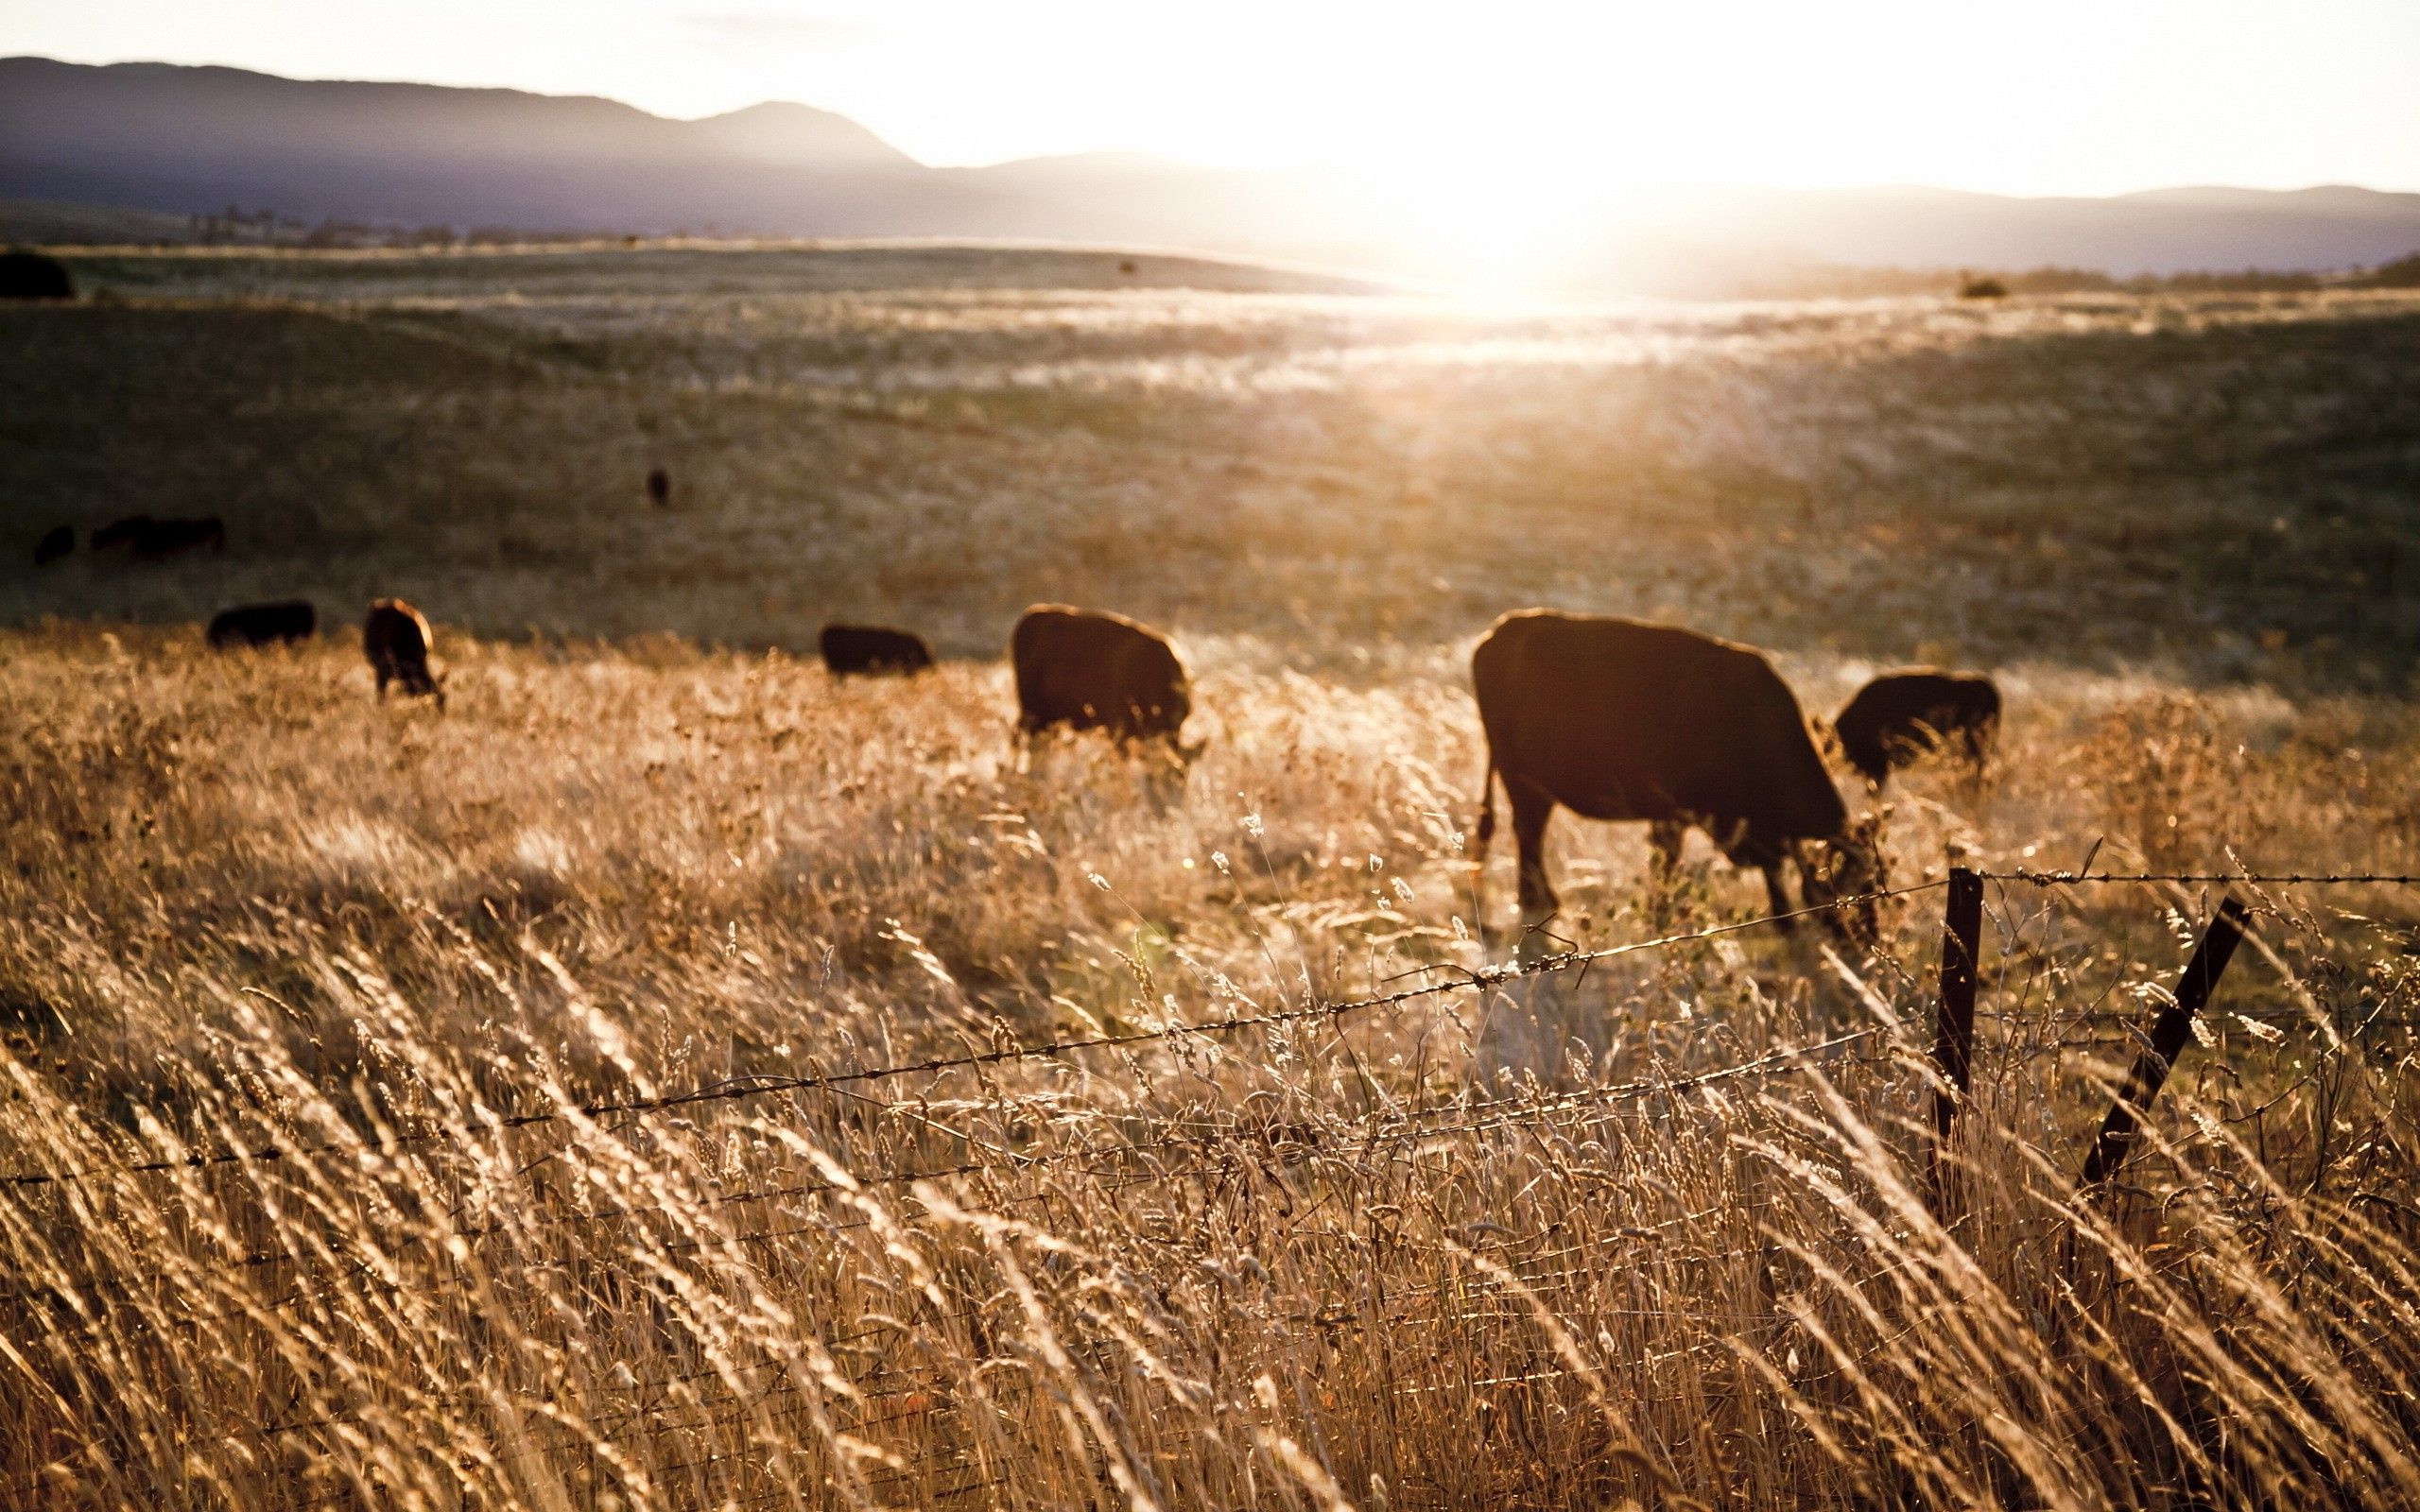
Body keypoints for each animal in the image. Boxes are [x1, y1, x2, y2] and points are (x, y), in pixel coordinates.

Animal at [1461, 614, 1877, 934]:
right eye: (1848, 886)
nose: (1868, 935)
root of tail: (1502, 630)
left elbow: (1771, 867)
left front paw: (1785, 921)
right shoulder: (1672, 814)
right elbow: (1668, 864)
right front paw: (1660, 917)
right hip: (1524, 784)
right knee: (1528, 835)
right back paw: (1538, 902)